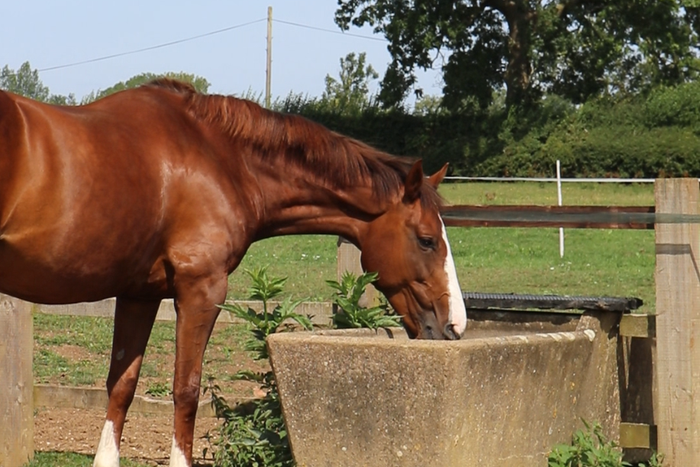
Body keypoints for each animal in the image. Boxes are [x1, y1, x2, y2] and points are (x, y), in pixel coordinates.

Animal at [0, 78, 467, 467]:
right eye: (427, 240)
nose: (454, 326)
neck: (218, 158)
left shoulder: (139, 294)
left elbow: (121, 386)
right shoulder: (201, 291)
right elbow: (186, 391)